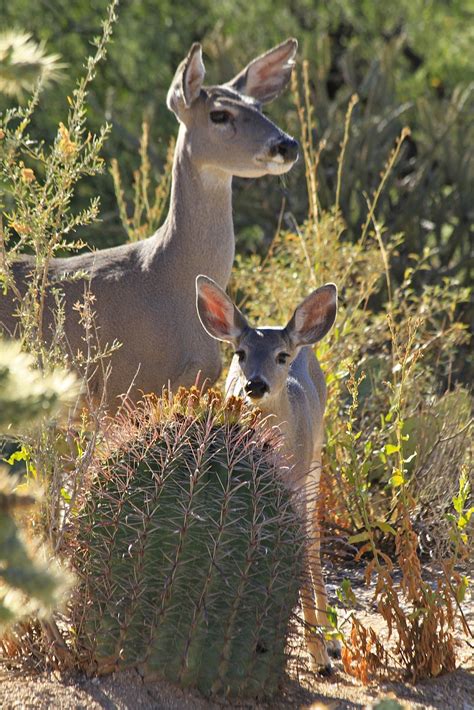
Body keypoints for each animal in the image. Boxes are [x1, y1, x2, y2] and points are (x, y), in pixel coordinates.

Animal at [196, 276, 340, 676]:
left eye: (281, 356)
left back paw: (331, 639)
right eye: (240, 352)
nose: (255, 385)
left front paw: (318, 654)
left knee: (314, 539)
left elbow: (302, 552)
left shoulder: (298, 481)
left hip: (316, 460)